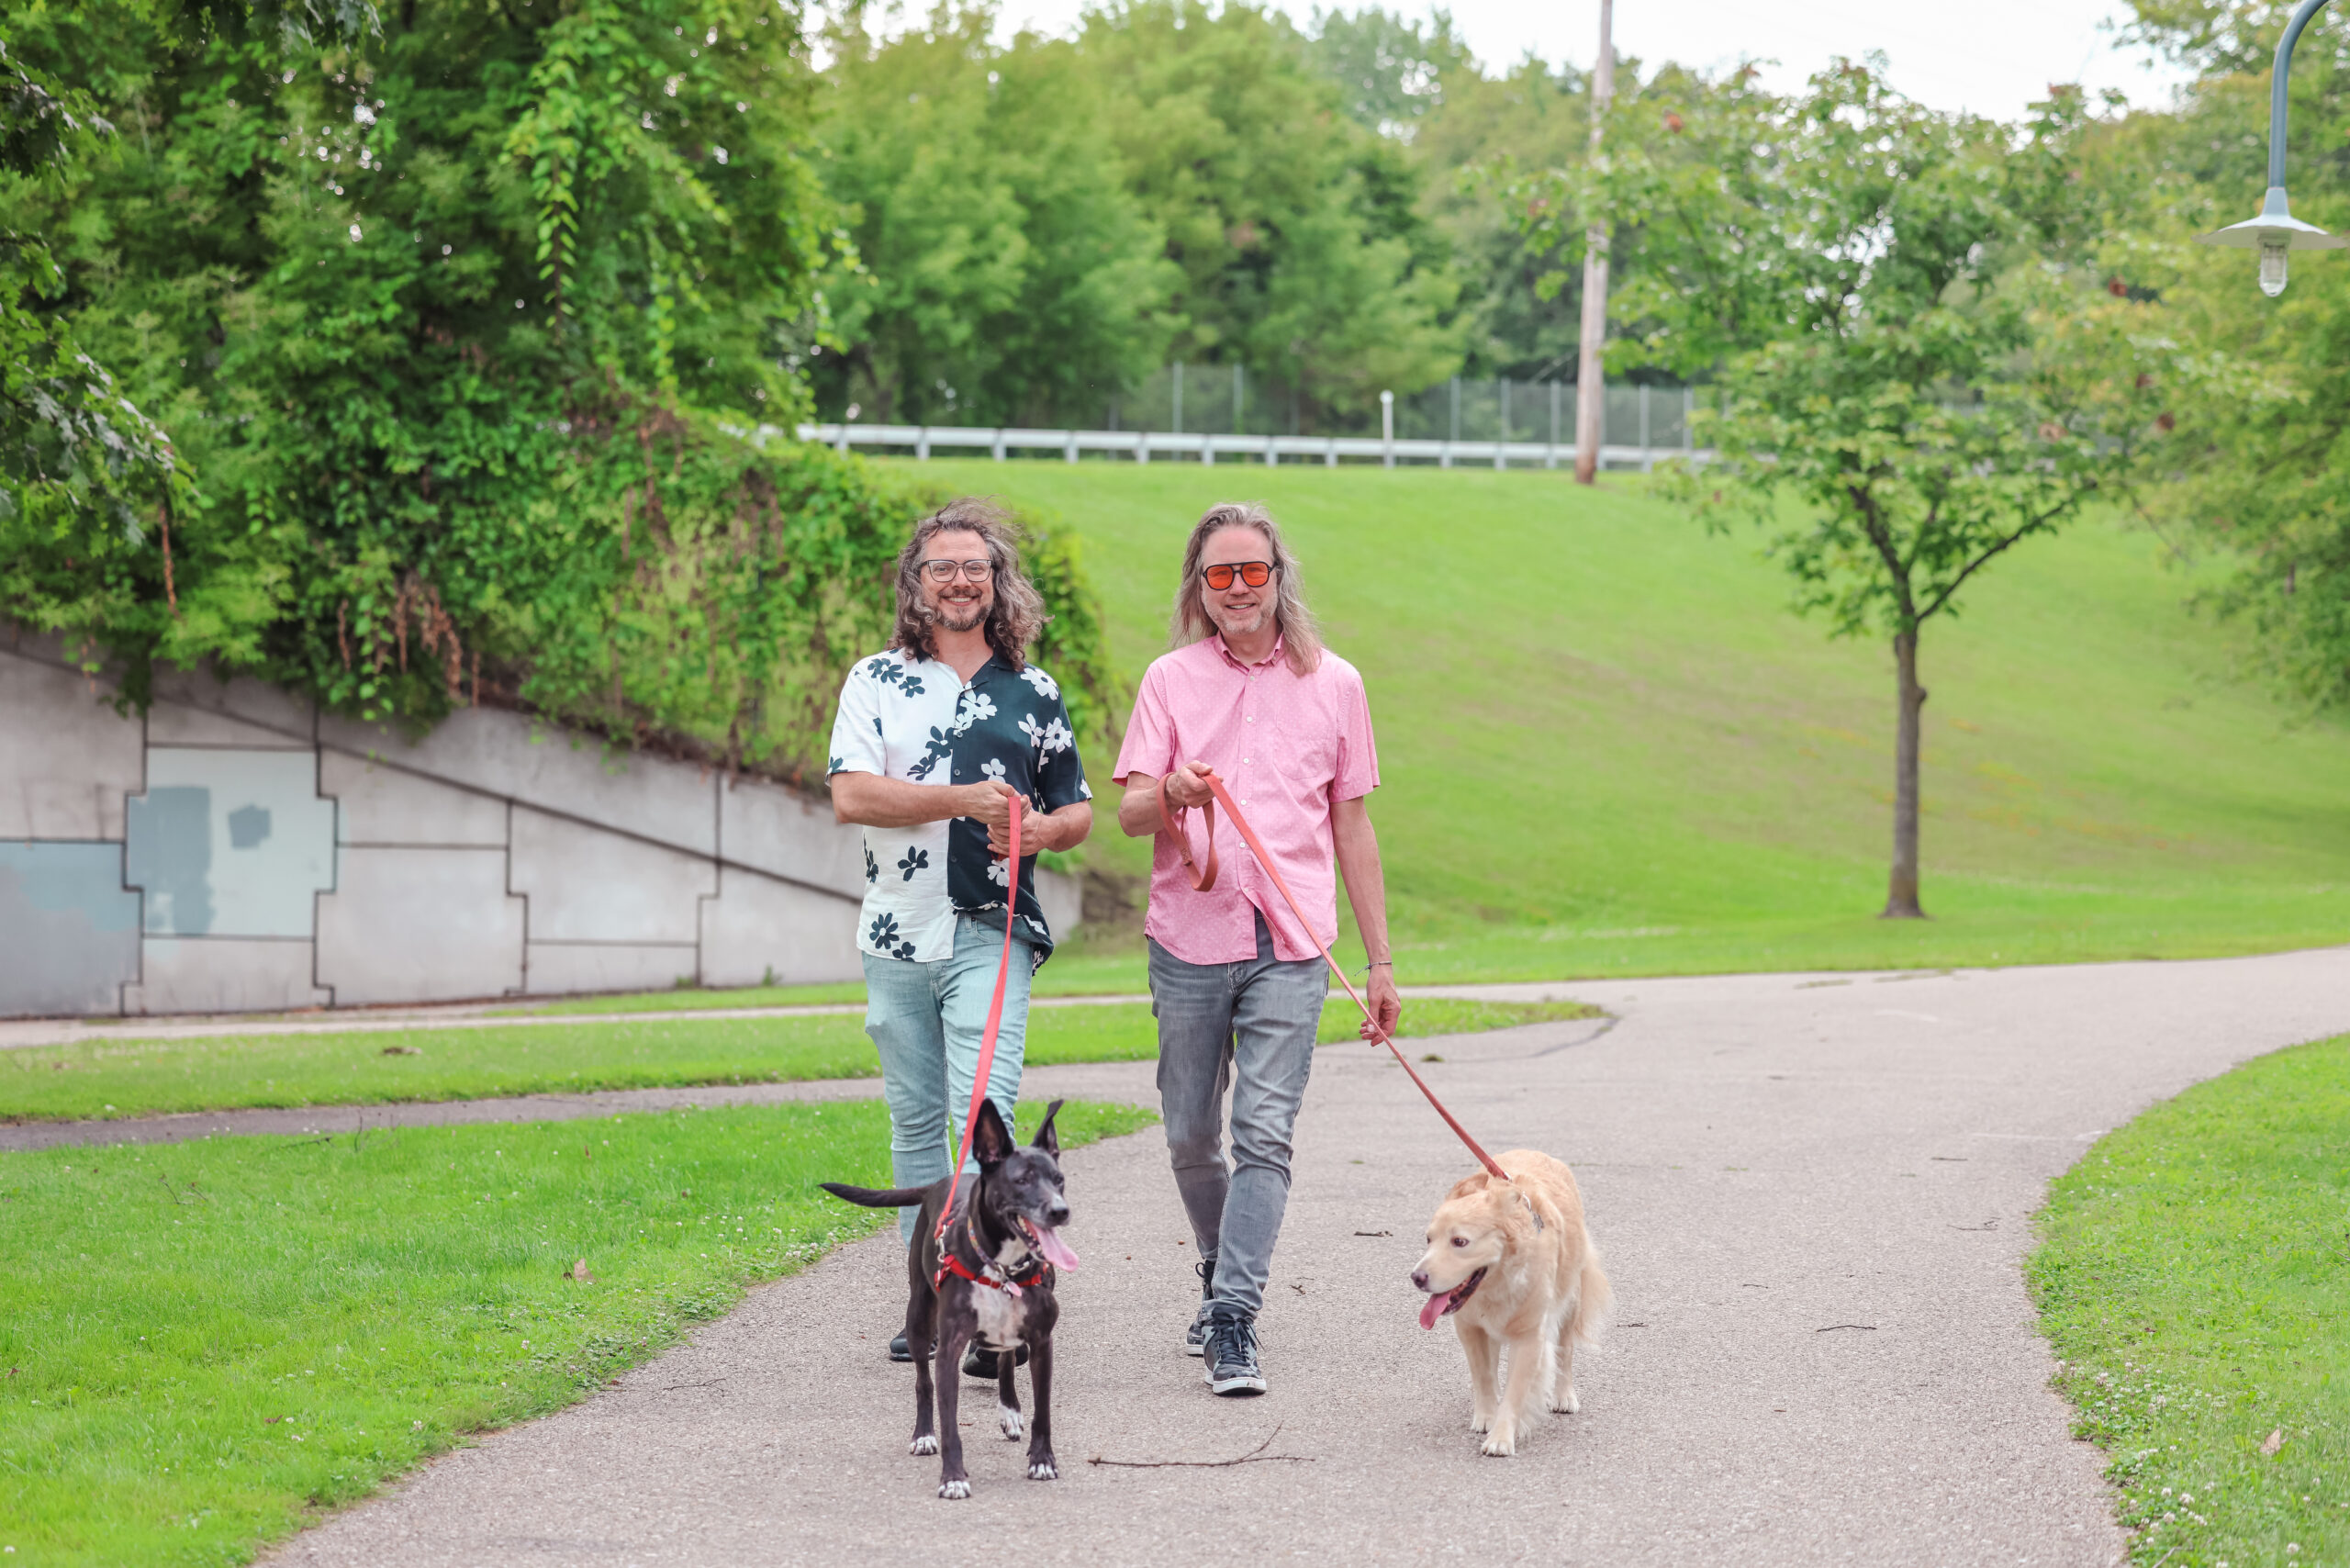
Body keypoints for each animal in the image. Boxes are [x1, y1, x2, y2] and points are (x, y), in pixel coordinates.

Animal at [821, 1097, 1077, 1499]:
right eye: (1021, 1180)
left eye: (1059, 1179)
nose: (1059, 1211)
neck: (1001, 1268)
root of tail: (937, 1185)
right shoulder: (949, 1348)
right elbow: (949, 1421)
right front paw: (953, 1477)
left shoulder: (1041, 1341)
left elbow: (1043, 1411)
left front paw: (1042, 1461)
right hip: (918, 1317)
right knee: (922, 1383)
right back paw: (924, 1435)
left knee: (1005, 1361)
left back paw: (1009, 1411)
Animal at [1410, 1149, 1610, 1456]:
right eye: (1428, 1239)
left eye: (1459, 1241)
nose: (1416, 1277)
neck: (1498, 1283)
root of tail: (1536, 1152)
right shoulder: (1470, 1328)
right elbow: (1483, 1376)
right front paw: (1486, 1417)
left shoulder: (1529, 1337)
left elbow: (1516, 1392)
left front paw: (1501, 1437)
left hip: (1570, 1303)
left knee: (1565, 1354)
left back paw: (1565, 1396)